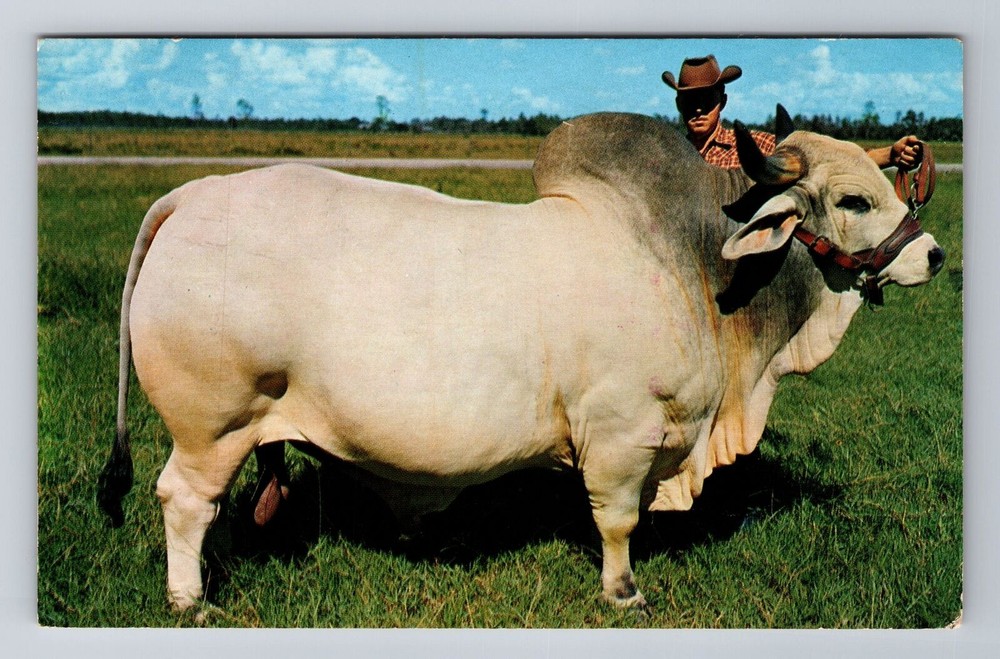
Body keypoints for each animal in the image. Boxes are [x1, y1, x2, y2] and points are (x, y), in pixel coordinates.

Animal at [97, 110, 944, 612]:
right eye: (855, 200)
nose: (934, 253)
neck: (693, 264)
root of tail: (195, 194)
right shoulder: (621, 435)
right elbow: (616, 520)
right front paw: (623, 593)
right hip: (213, 422)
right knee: (183, 499)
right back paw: (190, 599)